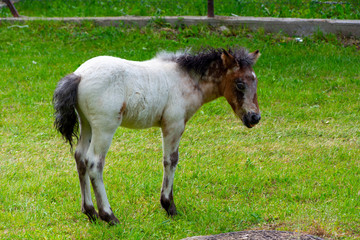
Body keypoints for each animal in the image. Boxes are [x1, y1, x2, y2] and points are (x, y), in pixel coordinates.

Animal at [53, 47, 260, 225]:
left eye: (255, 81)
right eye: (240, 84)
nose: (255, 117)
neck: (187, 80)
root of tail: (79, 75)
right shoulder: (174, 124)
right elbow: (171, 160)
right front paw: (169, 206)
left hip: (86, 124)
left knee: (80, 157)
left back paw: (90, 212)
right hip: (105, 127)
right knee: (94, 162)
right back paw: (109, 216)